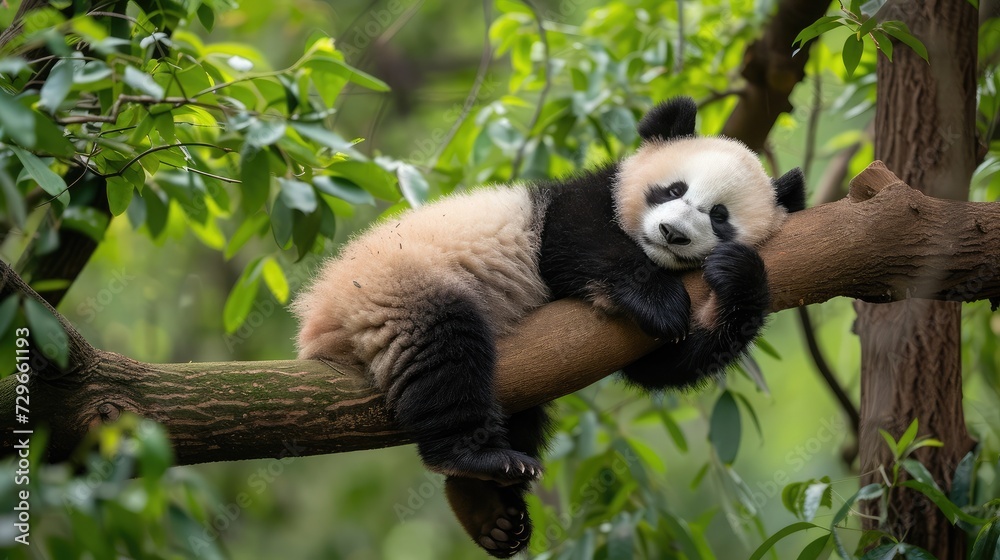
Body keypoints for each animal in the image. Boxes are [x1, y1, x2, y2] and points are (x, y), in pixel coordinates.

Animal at [292, 97, 805, 557]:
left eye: (720, 217)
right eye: (672, 190)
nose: (672, 234)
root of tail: (317, 317)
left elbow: (663, 365)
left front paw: (737, 276)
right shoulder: (581, 202)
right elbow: (578, 239)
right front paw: (659, 302)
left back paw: (488, 509)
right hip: (395, 286)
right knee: (442, 348)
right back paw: (475, 459)